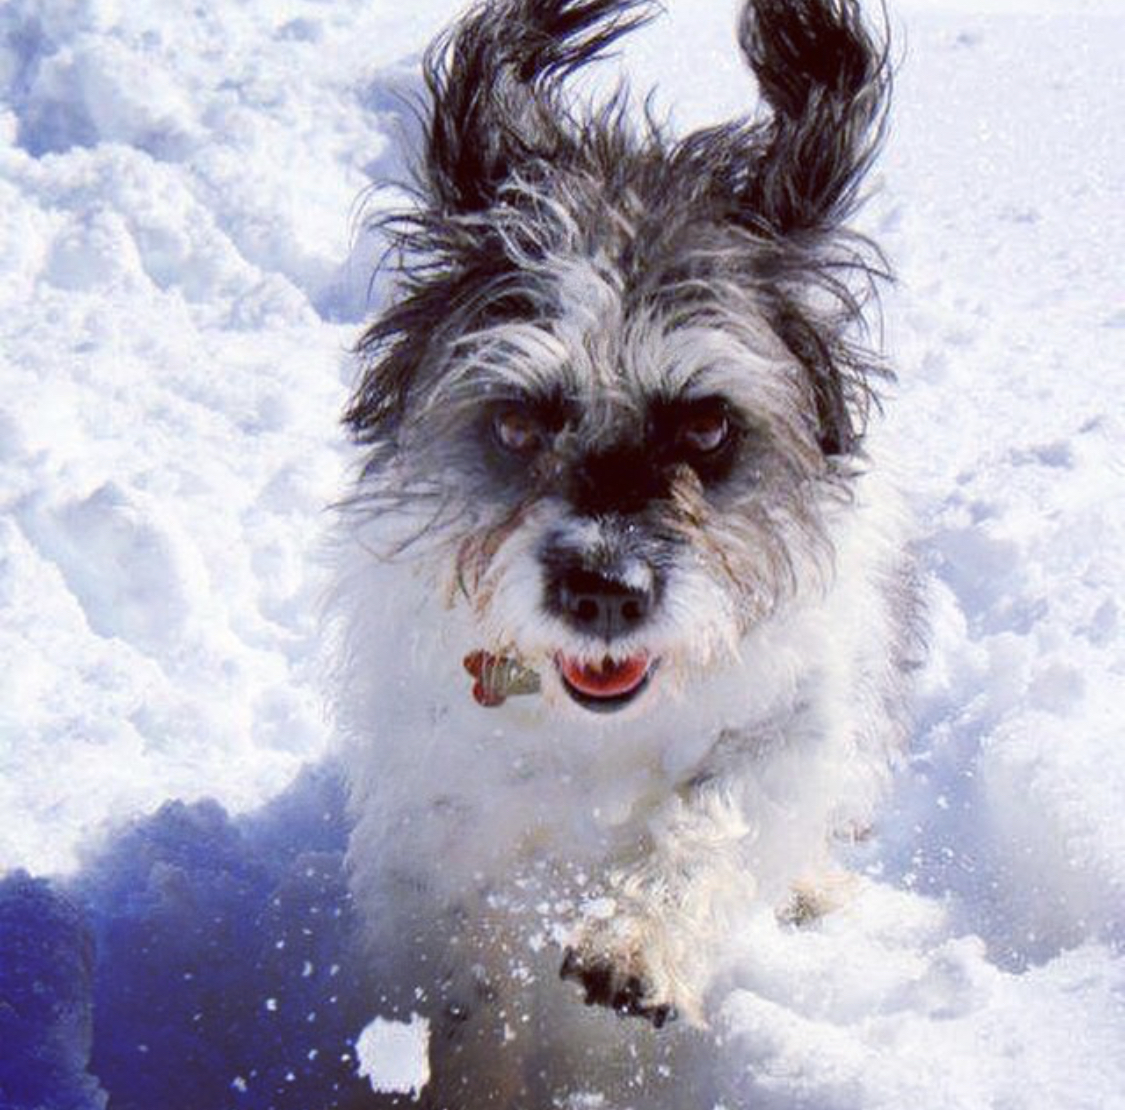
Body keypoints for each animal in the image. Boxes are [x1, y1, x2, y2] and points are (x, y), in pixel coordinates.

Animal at [333, 0, 913, 1106]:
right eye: (517, 423)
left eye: (708, 425)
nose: (603, 590)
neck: (595, 721)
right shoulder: (439, 816)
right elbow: (460, 979)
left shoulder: (786, 726)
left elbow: (716, 821)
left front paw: (638, 944)